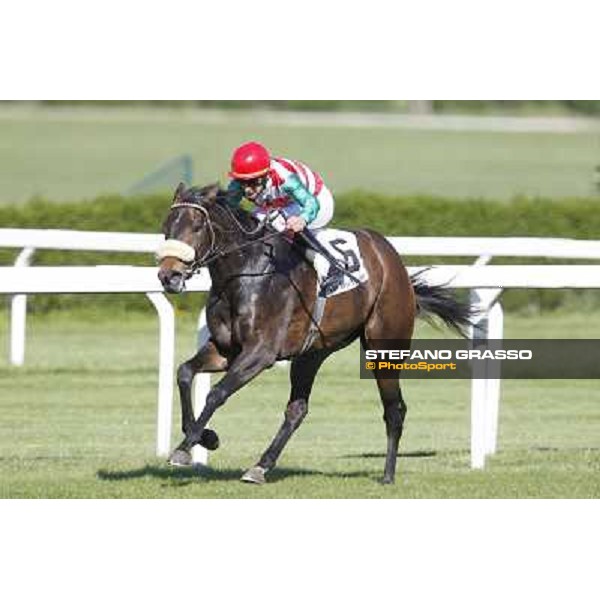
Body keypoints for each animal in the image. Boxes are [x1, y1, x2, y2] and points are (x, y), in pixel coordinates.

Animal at [158, 183, 474, 482]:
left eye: (197, 226)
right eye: (166, 227)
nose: (168, 276)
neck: (247, 273)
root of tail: (393, 261)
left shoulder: (260, 353)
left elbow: (216, 394)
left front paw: (184, 448)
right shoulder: (225, 350)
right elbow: (184, 372)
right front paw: (205, 437)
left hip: (383, 347)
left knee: (395, 409)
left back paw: (387, 475)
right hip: (312, 352)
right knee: (297, 409)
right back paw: (260, 466)